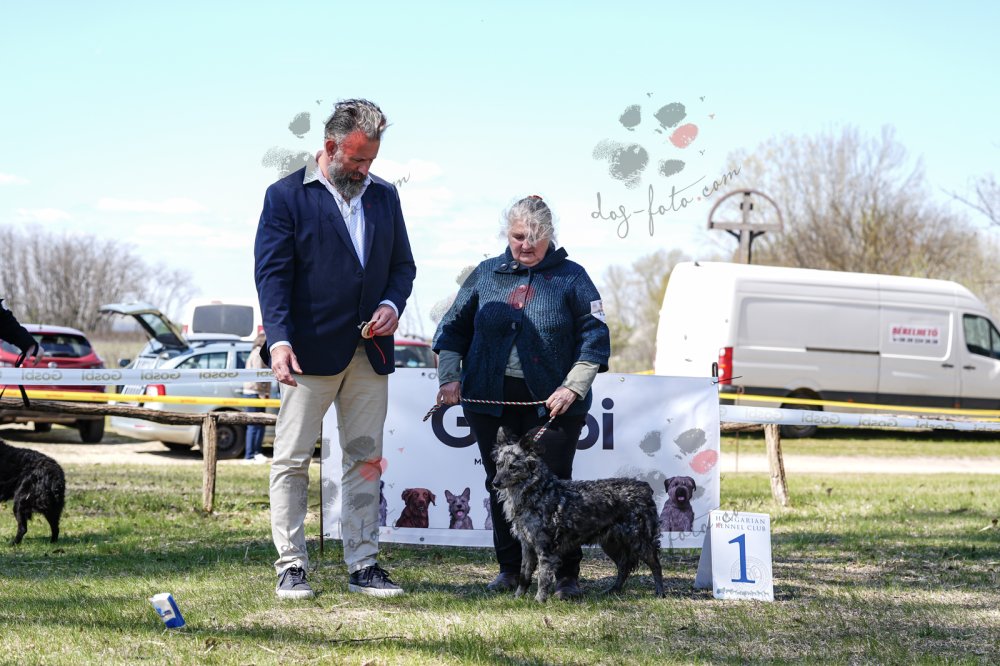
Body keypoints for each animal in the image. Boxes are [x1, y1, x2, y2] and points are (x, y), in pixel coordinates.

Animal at [492, 428, 664, 601]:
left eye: (513, 467)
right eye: (499, 465)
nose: (495, 483)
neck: (538, 491)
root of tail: (644, 487)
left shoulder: (545, 547)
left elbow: (543, 577)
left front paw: (539, 600)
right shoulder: (527, 546)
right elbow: (524, 575)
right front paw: (517, 598)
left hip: (639, 541)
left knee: (655, 564)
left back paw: (660, 592)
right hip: (612, 543)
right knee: (624, 567)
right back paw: (613, 590)